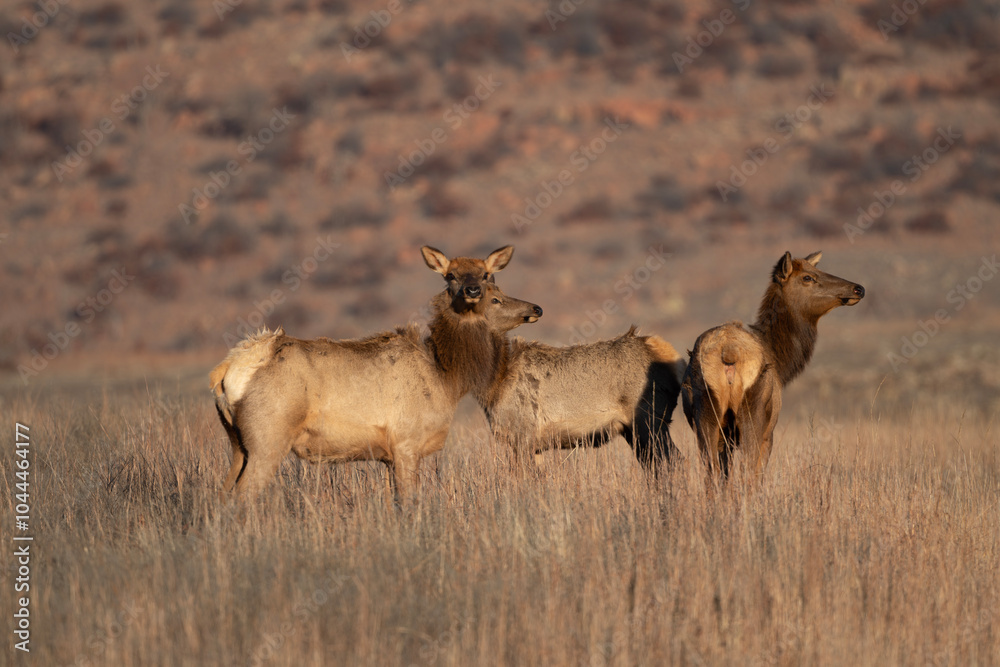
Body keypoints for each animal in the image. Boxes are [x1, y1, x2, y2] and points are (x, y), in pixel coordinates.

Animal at [209, 247, 541, 499]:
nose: (535, 308)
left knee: (223, 495)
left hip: (238, 445)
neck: (447, 379)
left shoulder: (388, 456)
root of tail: (225, 373)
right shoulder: (406, 442)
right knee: (243, 496)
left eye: (487, 276)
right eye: (451, 276)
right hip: (267, 438)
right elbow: (408, 502)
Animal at [681, 251, 865, 481]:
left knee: (711, 473)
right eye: (807, 277)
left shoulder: (725, 437)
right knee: (748, 472)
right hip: (752, 413)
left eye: (818, 269)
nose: (858, 288)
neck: (781, 362)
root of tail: (729, 351)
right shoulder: (769, 433)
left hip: (707, 414)